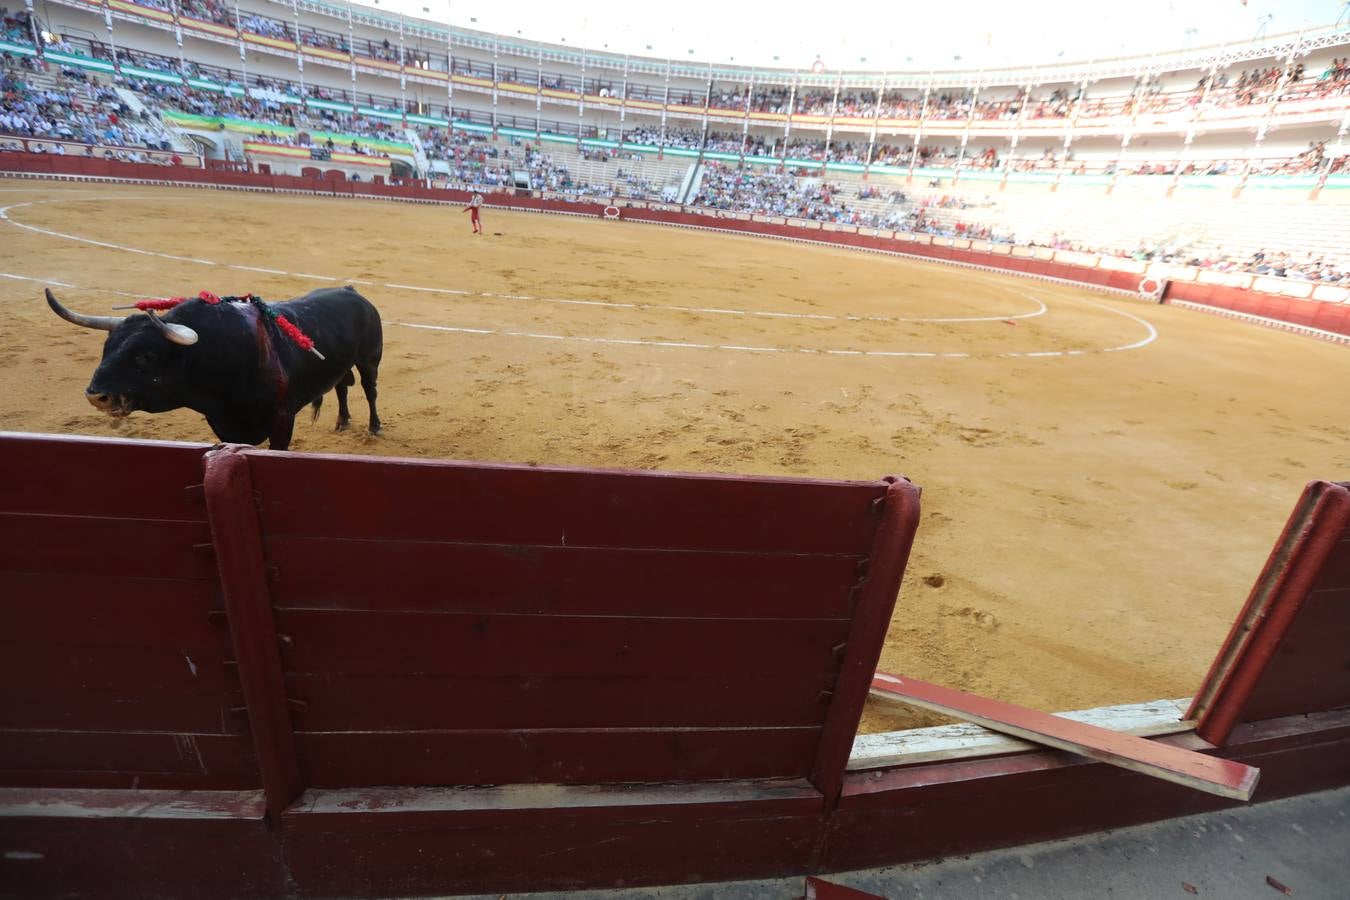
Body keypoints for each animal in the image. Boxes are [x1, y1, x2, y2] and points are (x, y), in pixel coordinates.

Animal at [46, 287, 383, 447]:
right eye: (106, 348)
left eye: (146, 356)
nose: (96, 395)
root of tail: (352, 291)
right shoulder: (223, 425)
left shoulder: (282, 420)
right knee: (341, 387)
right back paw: (342, 421)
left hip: (369, 359)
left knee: (369, 391)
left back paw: (374, 427)